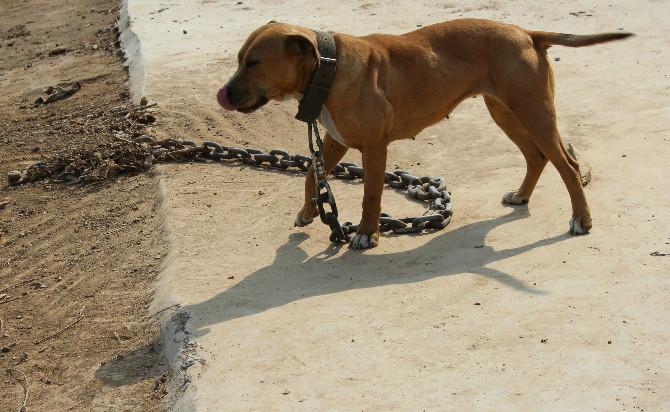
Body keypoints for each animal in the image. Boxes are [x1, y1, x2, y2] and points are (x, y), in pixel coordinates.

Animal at [218, 18, 632, 248]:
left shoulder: (373, 147)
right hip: (506, 112)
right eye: (239, 60)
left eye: (254, 63)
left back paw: (582, 219)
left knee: (568, 166)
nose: (224, 94)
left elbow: (371, 195)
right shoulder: (336, 140)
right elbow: (309, 175)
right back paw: (522, 195)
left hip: (534, 113)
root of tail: (527, 33)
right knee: (537, 156)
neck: (328, 69)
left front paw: (366, 235)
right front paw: (308, 212)